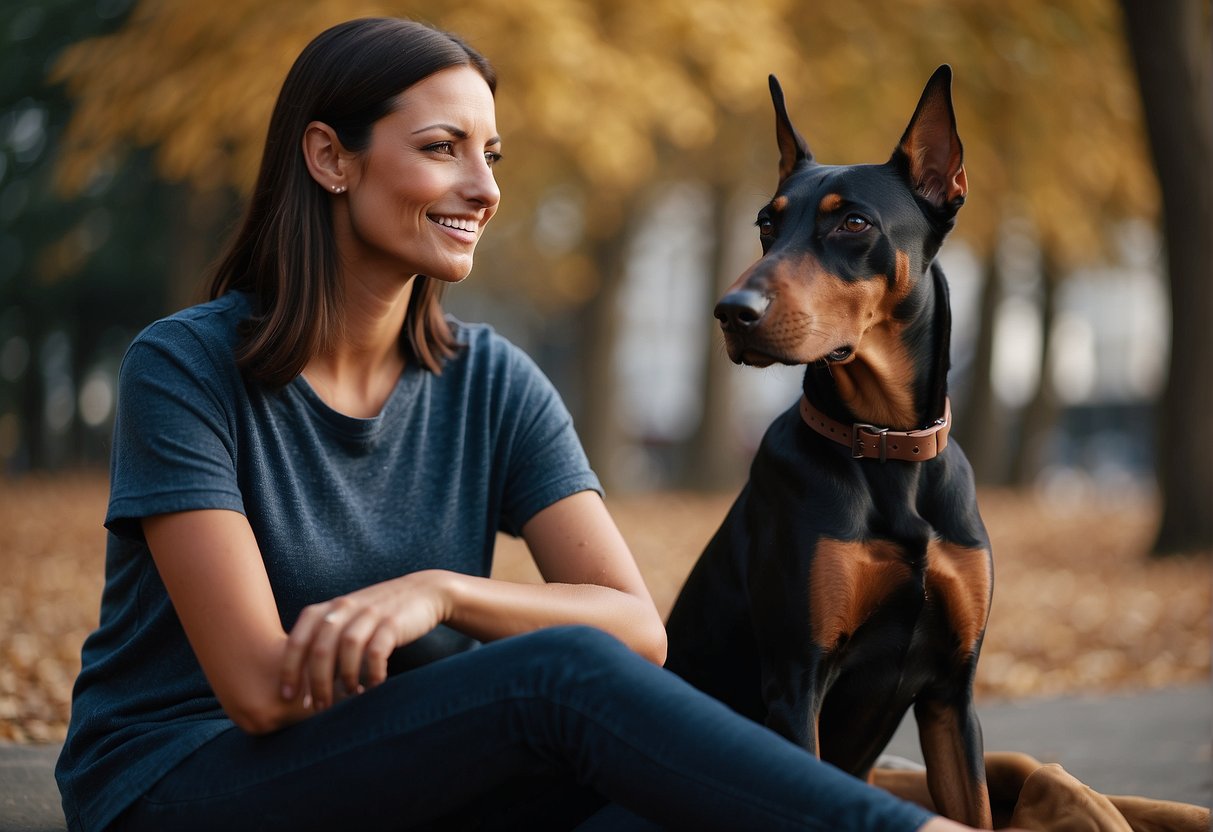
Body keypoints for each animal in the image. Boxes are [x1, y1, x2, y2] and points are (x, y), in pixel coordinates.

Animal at [664, 68, 994, 829]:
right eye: (766, 223)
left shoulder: (952, 695)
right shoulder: (796, 680)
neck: (888, 448)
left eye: (853, 223)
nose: (731, 312)